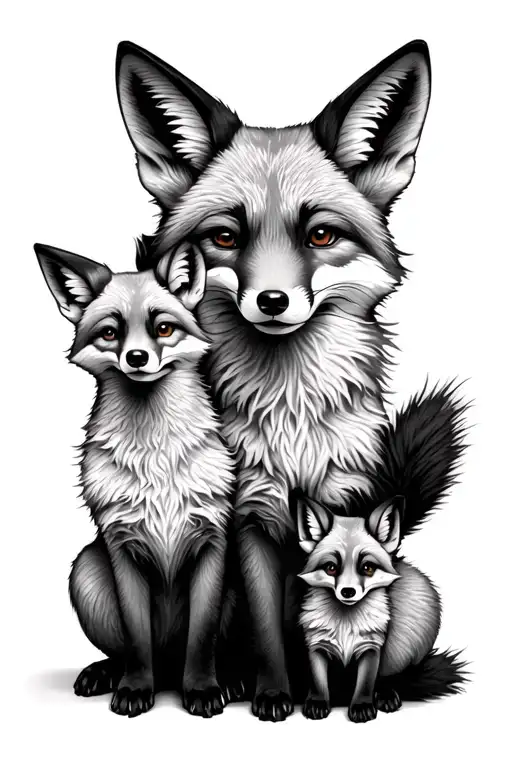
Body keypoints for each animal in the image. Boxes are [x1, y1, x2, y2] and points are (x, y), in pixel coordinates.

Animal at [34, 241, 235, 718]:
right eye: (111, 333)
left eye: (163, 328)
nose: (137, 358)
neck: (156, 461)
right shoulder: (121, 544)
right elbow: (136, 635)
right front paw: (135, 688)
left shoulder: (212, 540)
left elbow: (201, 636)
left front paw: (202, 689)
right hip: (86, 568)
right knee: (127, 649)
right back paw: (108, 672)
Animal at [114, 38, 433, 720]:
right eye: (225, 237)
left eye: (321, 234)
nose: (272, 301)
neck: (292, 418)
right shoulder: (248, 518)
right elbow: (267, 626)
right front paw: (275, 695)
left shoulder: (347, 497)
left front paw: (342, 693)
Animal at [292, 383, 469, 721]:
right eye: (331, 568)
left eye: (368, 568)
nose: (348, 592)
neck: (345, 626)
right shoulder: (316, 645)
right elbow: (319, 679)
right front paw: (317, 703)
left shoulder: (372, 648)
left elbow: (365, 681)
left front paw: (362, 706)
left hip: (404, 644)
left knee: (394, 676)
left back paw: (387, 696)